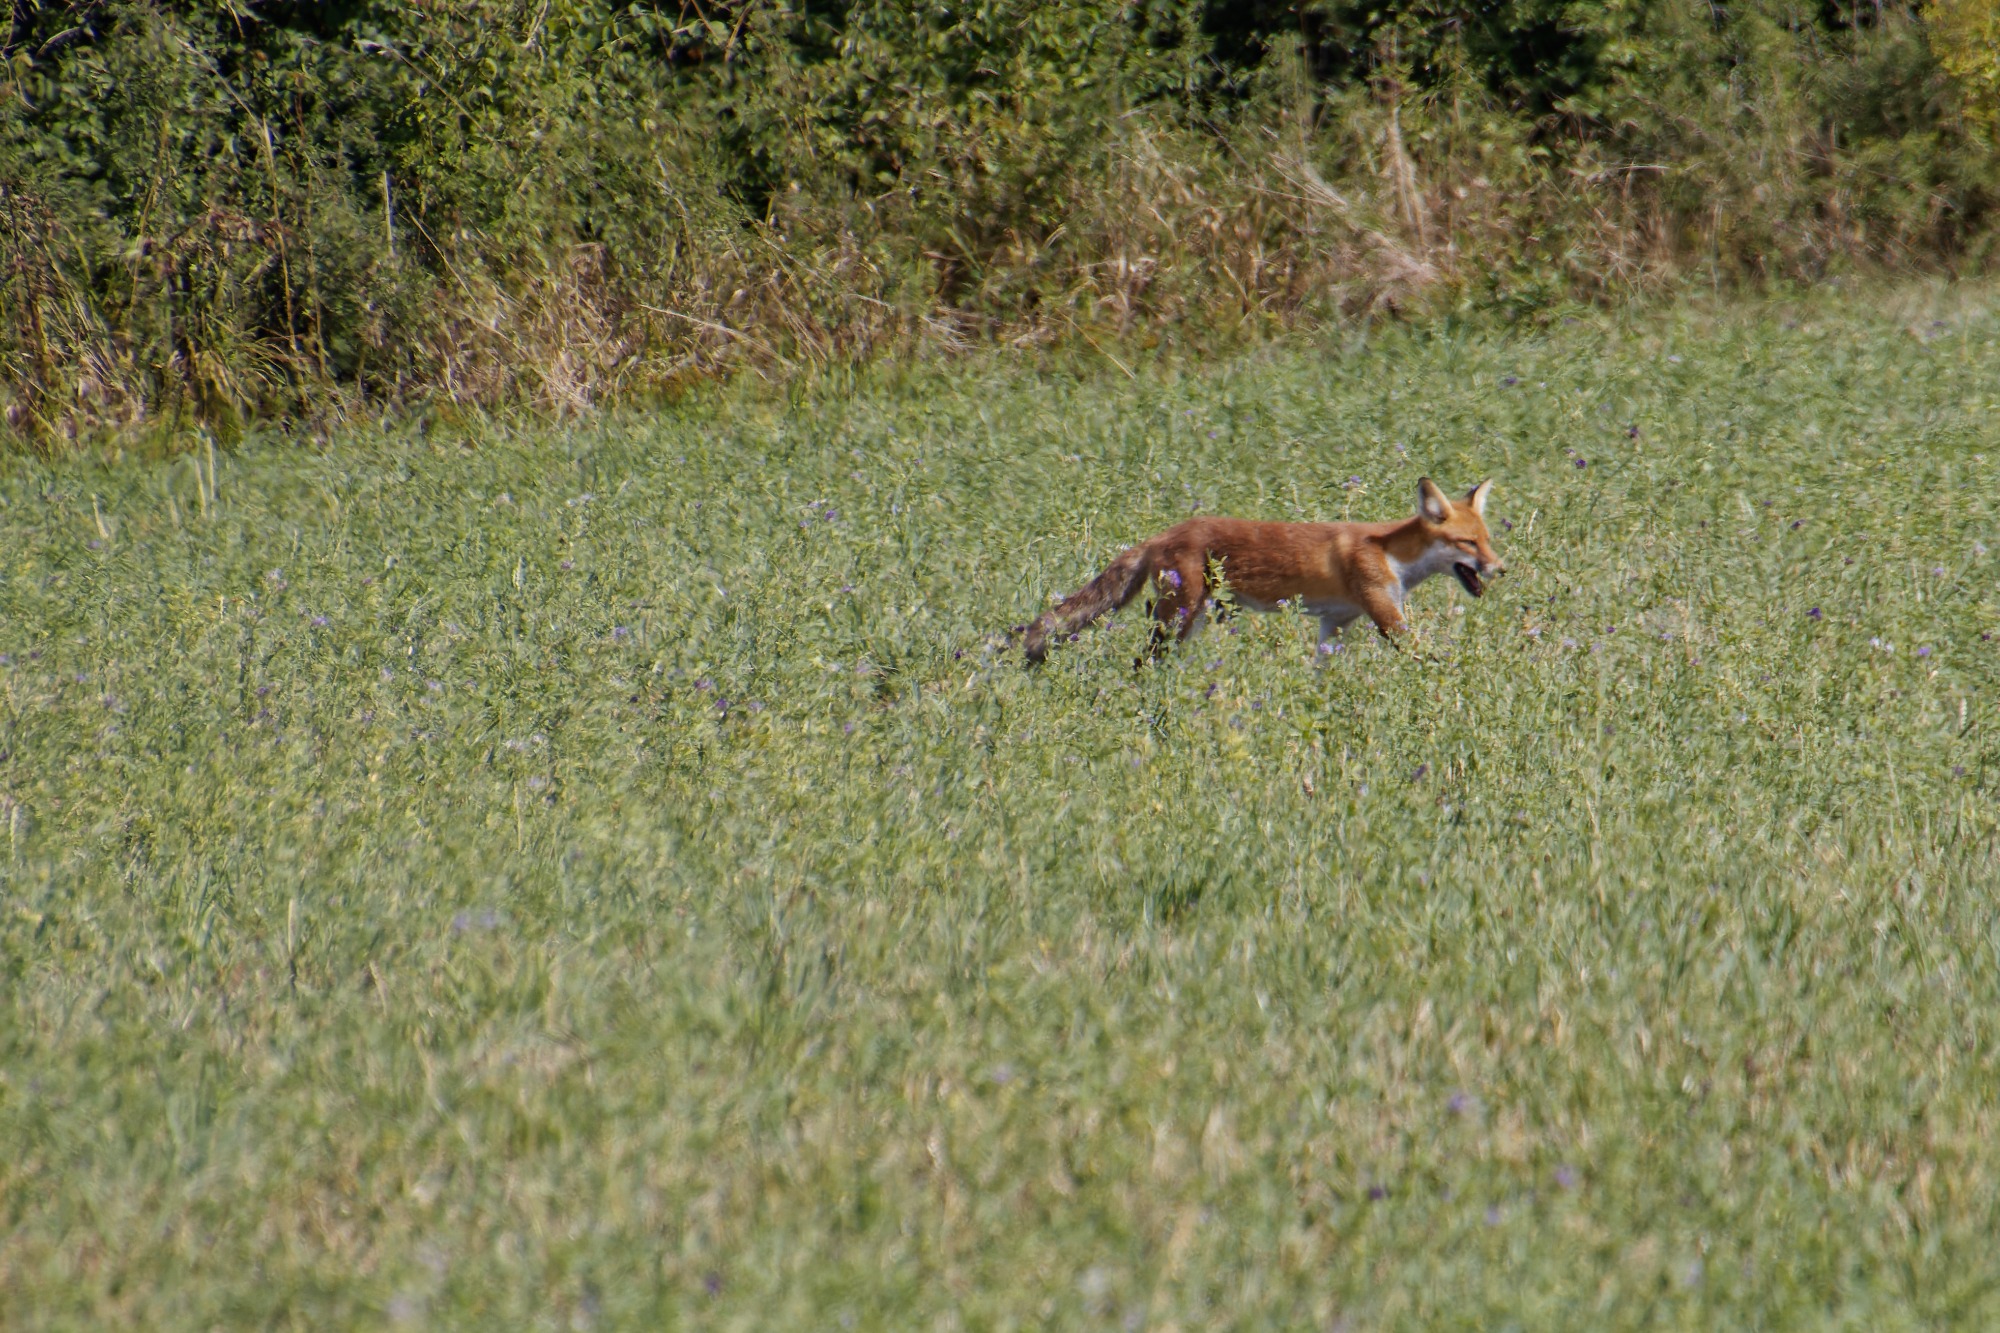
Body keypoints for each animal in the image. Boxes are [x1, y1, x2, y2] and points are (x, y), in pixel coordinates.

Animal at [1021, 477, 1505, 664]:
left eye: (1487, 539)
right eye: (1469, 544)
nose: (1501, 568)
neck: (1390, 552)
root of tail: (1161, 534)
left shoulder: (1337, 621)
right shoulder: (1387, 617)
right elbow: (1429, 658)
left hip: (1192, 620)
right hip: (1179, 617)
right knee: (1144, 663)